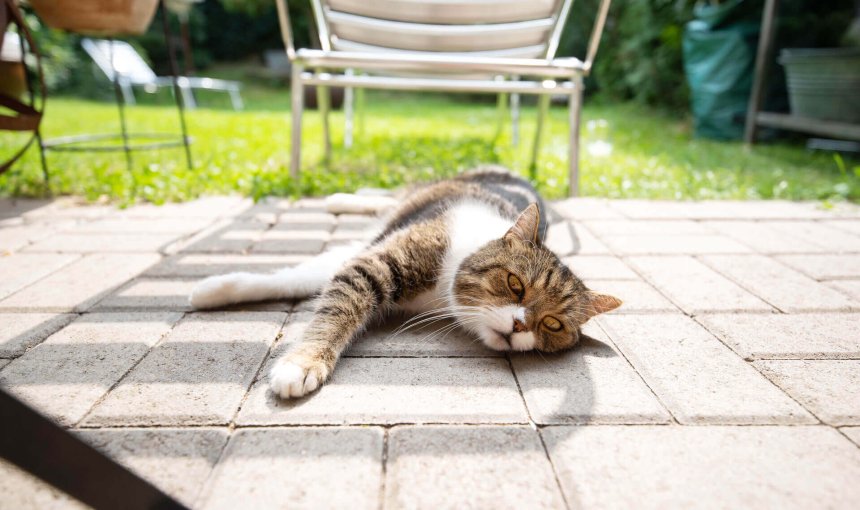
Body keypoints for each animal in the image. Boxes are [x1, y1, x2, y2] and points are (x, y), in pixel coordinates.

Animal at [190, 167, 620, 398]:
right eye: (516, 284)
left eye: (552, 323)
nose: (519, 326)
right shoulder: (376, 261)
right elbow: (330, 302)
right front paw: (303, 363)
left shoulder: (360, 255)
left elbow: (303, 279)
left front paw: (216, 290)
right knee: (390, 195)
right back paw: (344, 196)